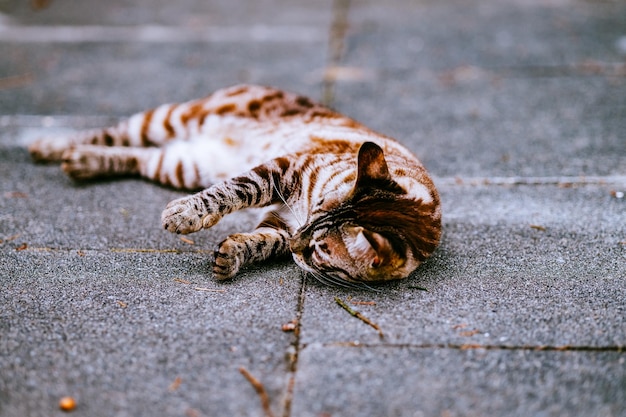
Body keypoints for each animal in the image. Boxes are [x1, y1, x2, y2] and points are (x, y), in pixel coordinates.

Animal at [29, 84, 442, 286]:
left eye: (320, 250)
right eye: (321, 204)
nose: (300, 243)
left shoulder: (283, 224)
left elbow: (261, 242)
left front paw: (232, 256)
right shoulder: (284, 171)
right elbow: (233, 191)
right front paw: (186, 212)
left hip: (180, 164)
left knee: (136, 156)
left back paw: (85, 162)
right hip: (166, 119)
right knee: (105, 133)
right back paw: (50, 145)